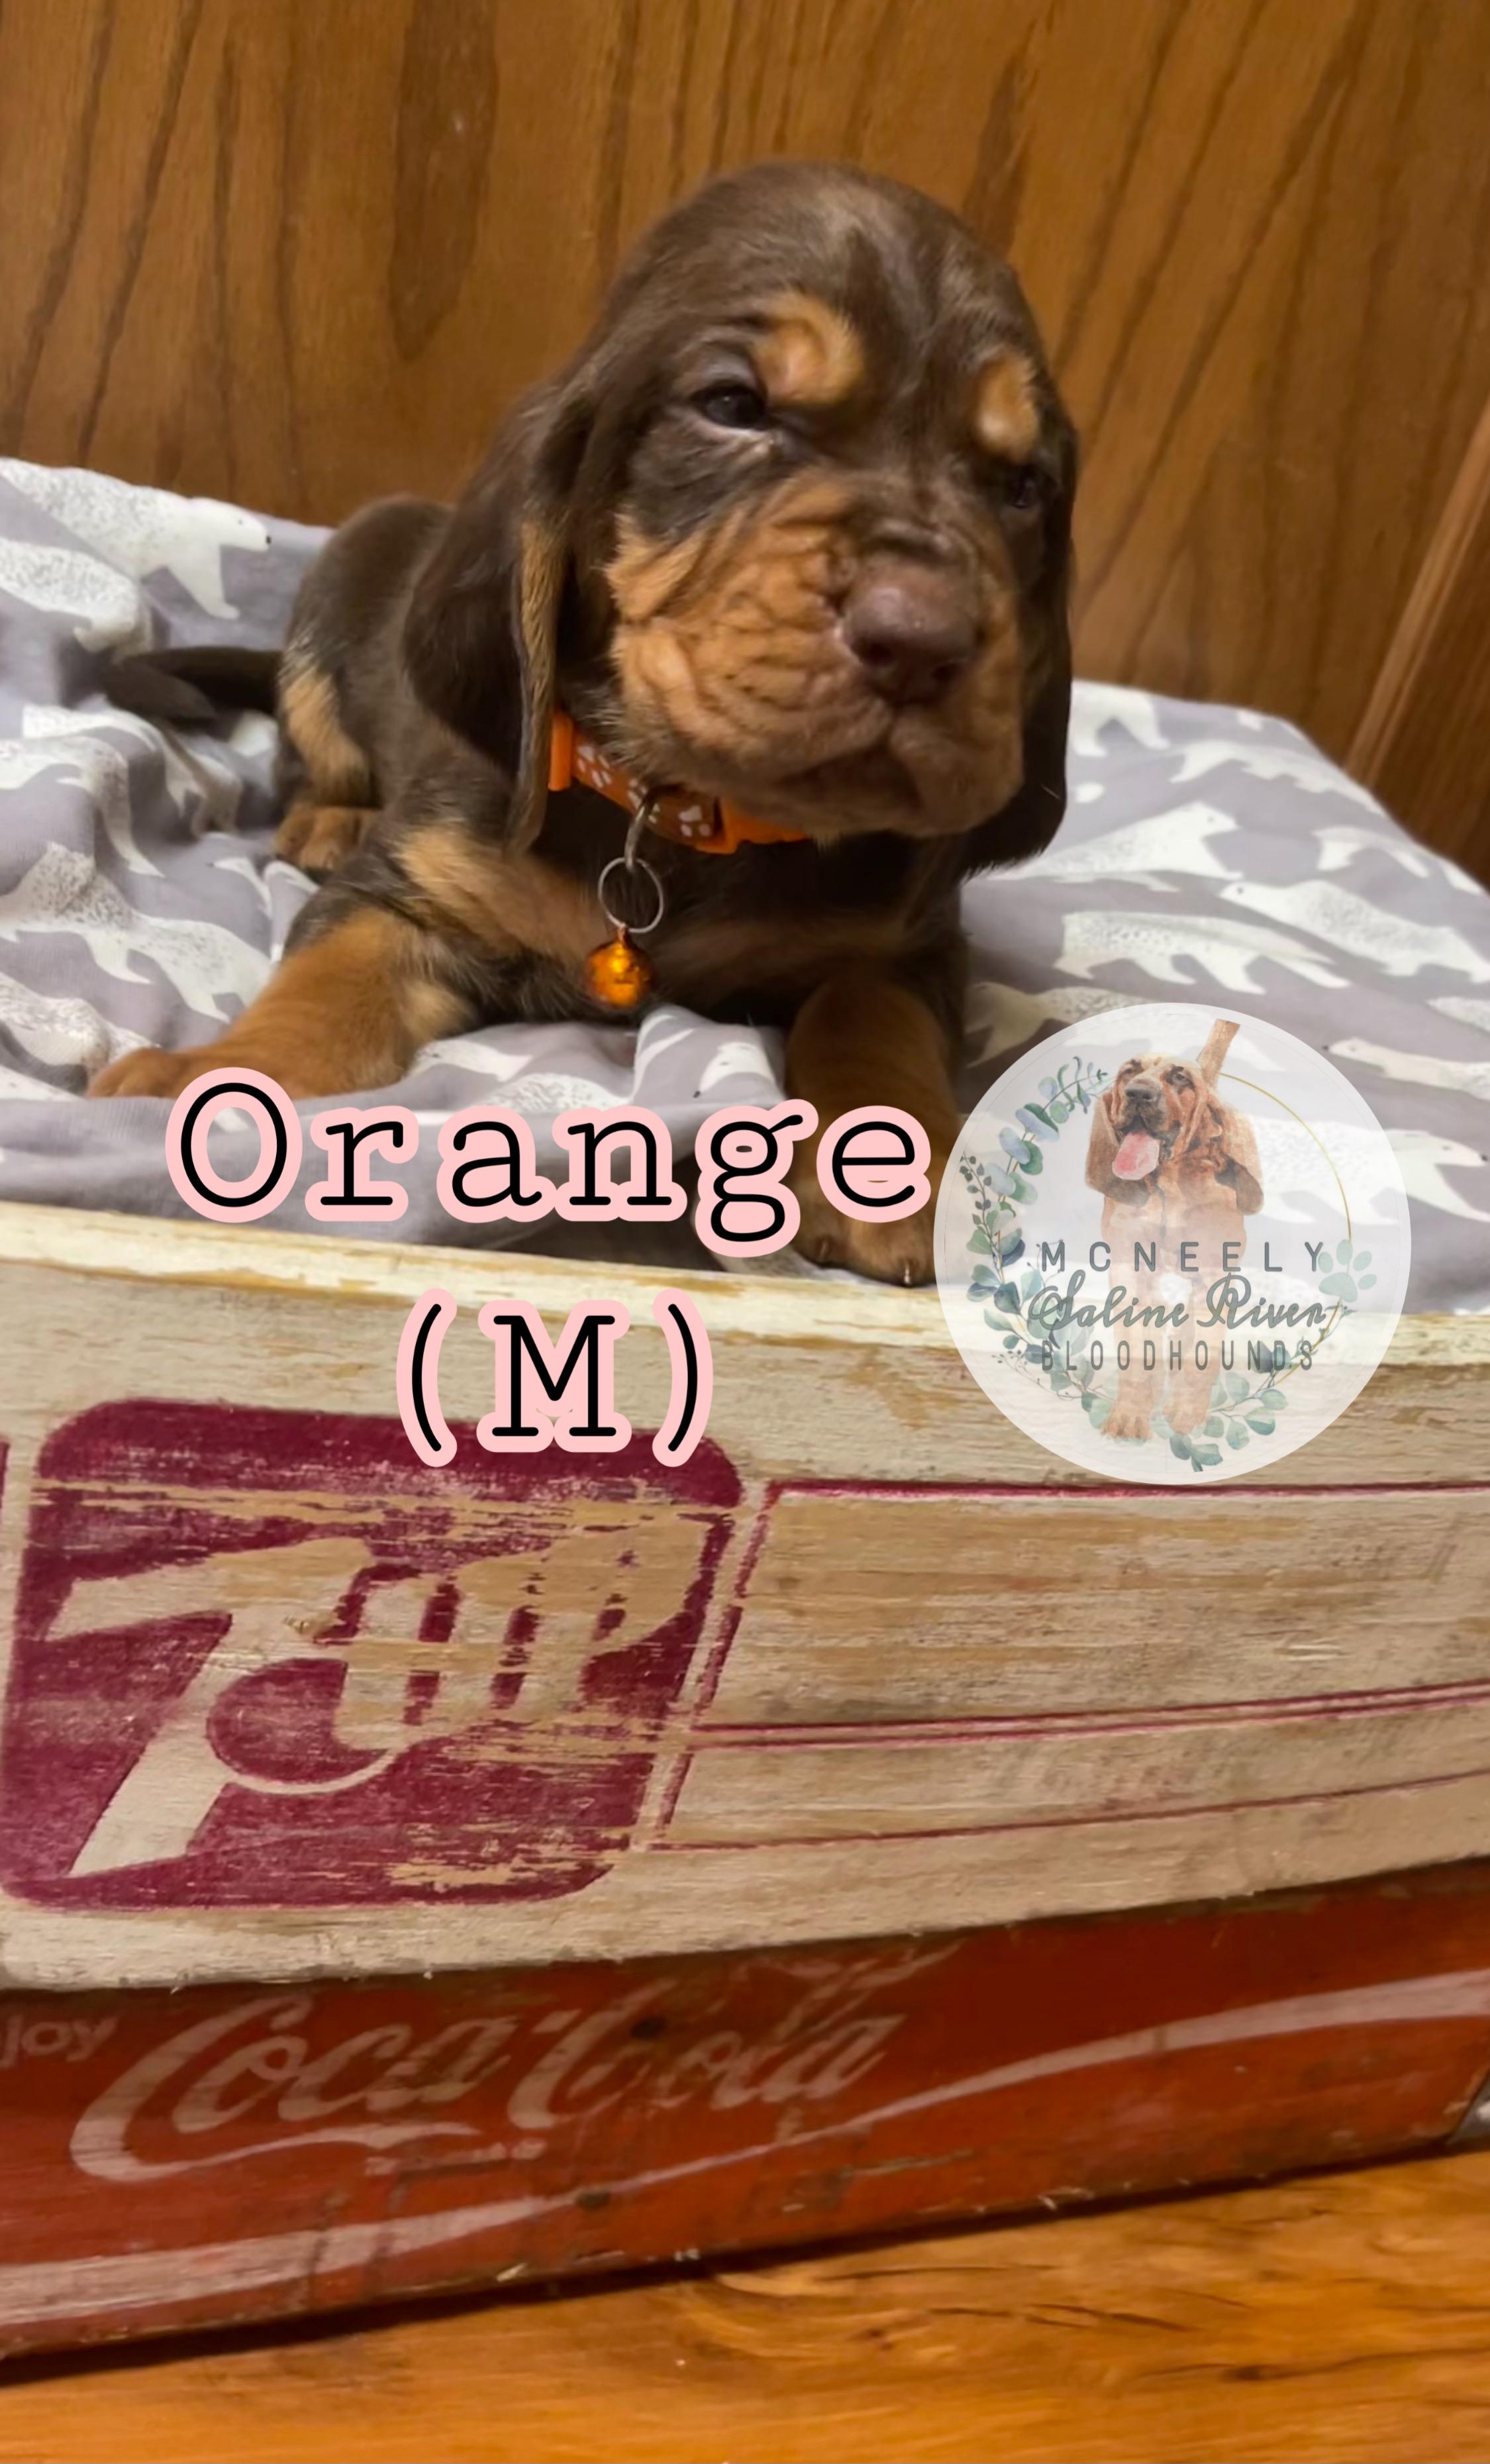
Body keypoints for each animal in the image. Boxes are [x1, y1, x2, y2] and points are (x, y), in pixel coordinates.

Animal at [92, 161, 1077, 1284]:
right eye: (732, 405)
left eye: (1024, 486)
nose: (922, 640)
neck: (683, 812)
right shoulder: (408, 895)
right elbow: (325, 985)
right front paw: (209, 1081)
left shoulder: (905, 947)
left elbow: (867, 1016)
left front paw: (894, 1173)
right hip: (346, 579)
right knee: (315, 756)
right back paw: (329, 818)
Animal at [1084, 1019, 1264, 1440]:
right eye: (1129, 1071)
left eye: (1179, 1077)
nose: (1138, 1093)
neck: (1168, 1187)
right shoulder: (1130, 1271)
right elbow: (1135, 1351)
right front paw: (1129, 1417)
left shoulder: (1214, 1279)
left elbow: (1201, 1353)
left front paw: (1186, 1415)